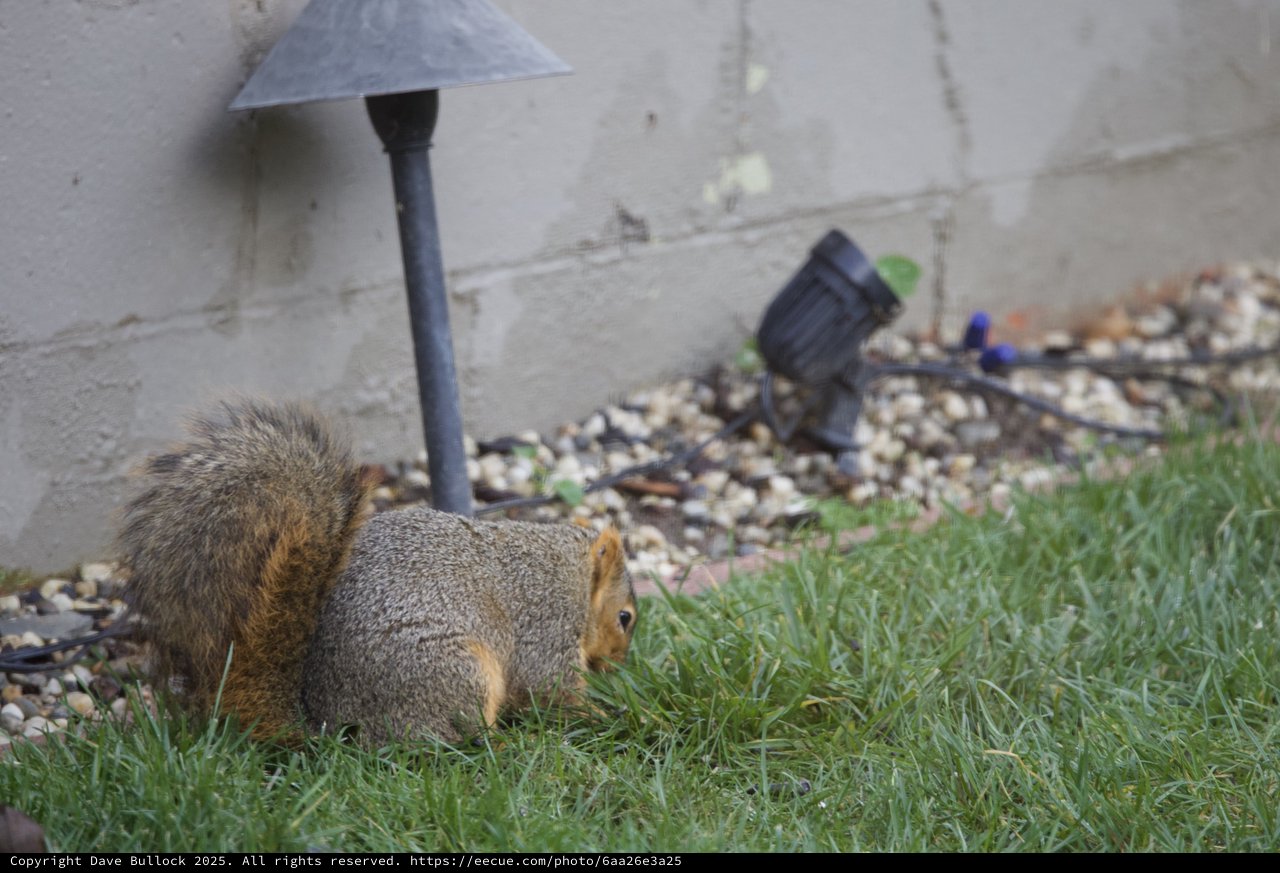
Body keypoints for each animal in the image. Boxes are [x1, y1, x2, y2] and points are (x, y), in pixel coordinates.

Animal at [119, 400, 637, 745]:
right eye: (625, 617)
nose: (618, 664)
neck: (573, 573)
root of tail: (328, 722)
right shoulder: (547, 625)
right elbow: (550, 689)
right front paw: (612, 715)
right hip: (455, 671)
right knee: (452, 738)